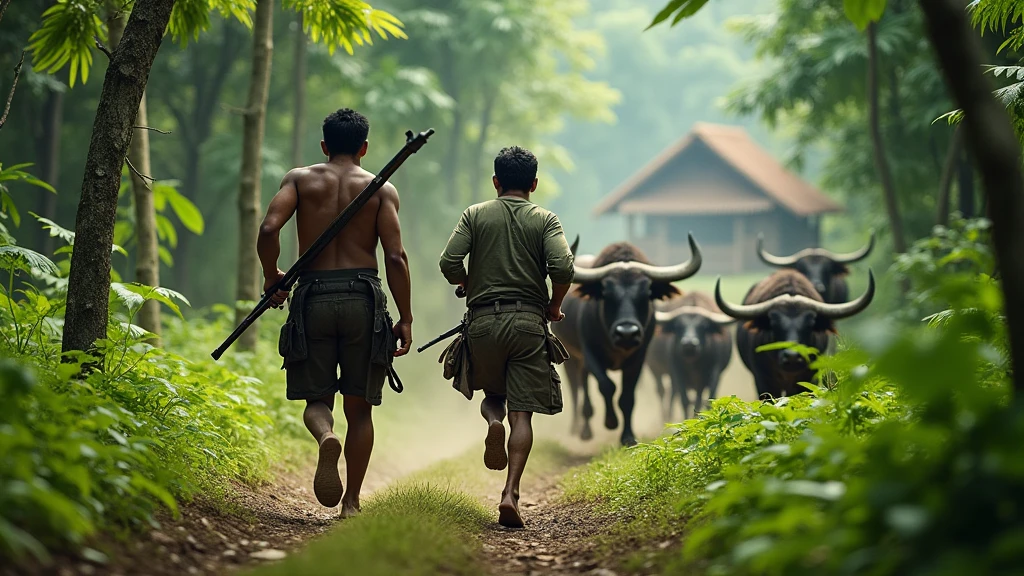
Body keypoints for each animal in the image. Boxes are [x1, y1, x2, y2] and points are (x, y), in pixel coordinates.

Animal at [552, 233, 704, 444]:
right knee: (579, 389)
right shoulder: (590, 354)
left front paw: (628, 437)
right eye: (605, 292)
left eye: (647, 292)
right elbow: (606, 386)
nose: (627, 333)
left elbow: (627, 397)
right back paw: (583, 430)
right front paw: (610, 422)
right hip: (574, 359)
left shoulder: (638, 359)